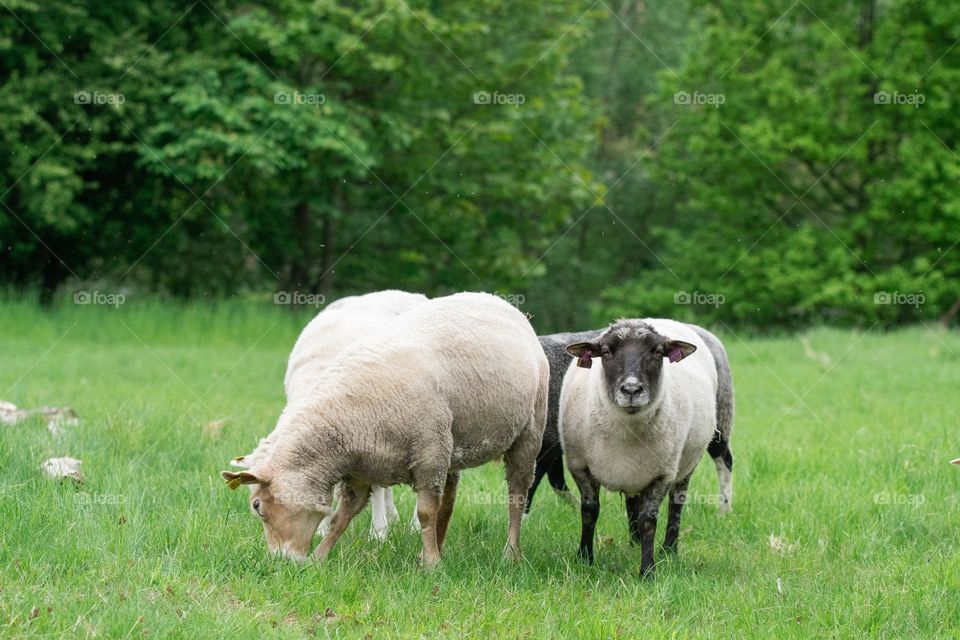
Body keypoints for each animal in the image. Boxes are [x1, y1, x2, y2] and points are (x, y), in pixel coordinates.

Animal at [564, 318, 720, 576]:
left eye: (657, 352)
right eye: (606, 352)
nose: (631, 390)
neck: (626, 429)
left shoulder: (661, 474)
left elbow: (649, 520)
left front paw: (647, 571)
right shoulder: (580, 466)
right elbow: (589, 511)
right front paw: (584, 559)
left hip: (687, 463)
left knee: (676, 504)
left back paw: (669, 550)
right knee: (631, 502)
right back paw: (634, 542)